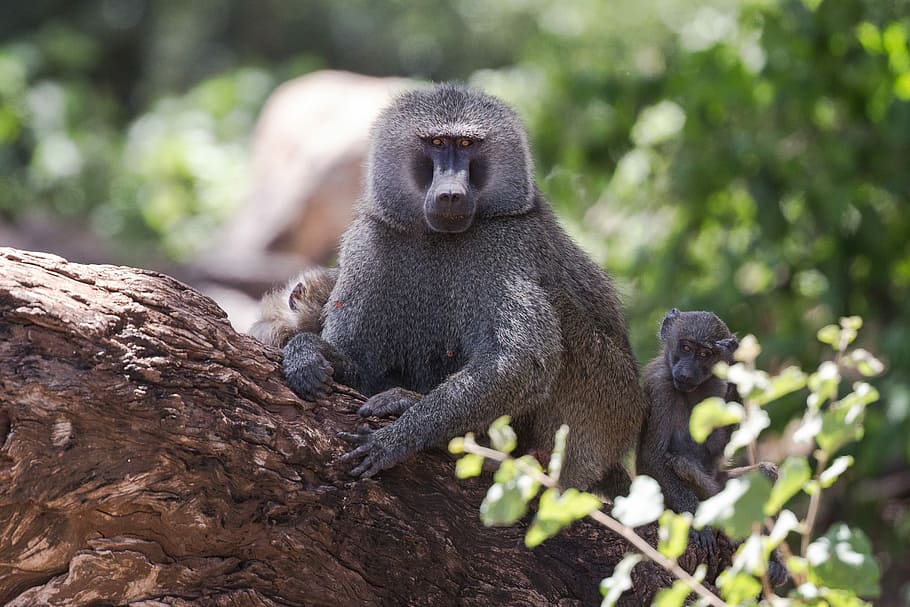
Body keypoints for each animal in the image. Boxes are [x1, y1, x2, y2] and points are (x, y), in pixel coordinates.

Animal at [281, 83, 648, 496]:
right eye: (438, 142)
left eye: (468, 144)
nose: (451, 194)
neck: (438, 237)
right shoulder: (369, 242)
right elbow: (360, 369)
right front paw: (305, 353)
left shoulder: (506, 245)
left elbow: (521, 361)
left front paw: (397, 436)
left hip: (608, 409)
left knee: (557, 308)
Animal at [636, 308, 786, 585]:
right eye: (685, 347)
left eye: (705, 354)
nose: (686, 373)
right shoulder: (659, 385)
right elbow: (653, 457)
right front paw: (699, 525)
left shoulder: (717, 386)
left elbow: (714, 449)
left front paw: (735, 358)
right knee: (681, 463)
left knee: (766, 473)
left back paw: (773, 559)